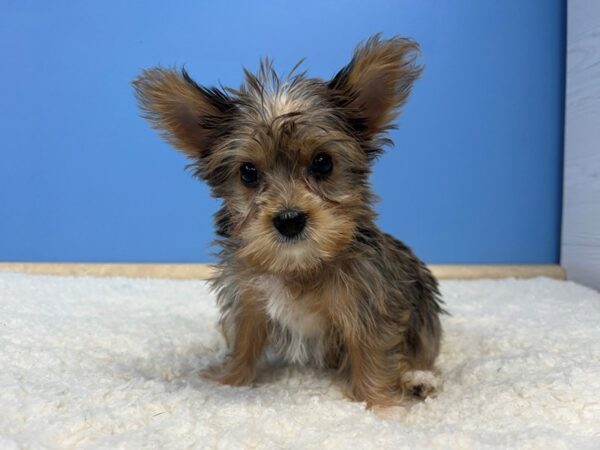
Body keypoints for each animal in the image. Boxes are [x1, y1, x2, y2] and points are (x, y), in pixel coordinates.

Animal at [136, 35, 446, 408]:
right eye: (248, 172)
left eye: (323, 163)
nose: (289, 220)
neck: (297, 265)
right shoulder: (248, 299)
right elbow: (244, 340)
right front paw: (228, 379)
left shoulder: (369, 303)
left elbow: (373, 355)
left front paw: (379, 404)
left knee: (422, 354)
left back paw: (419, 379)